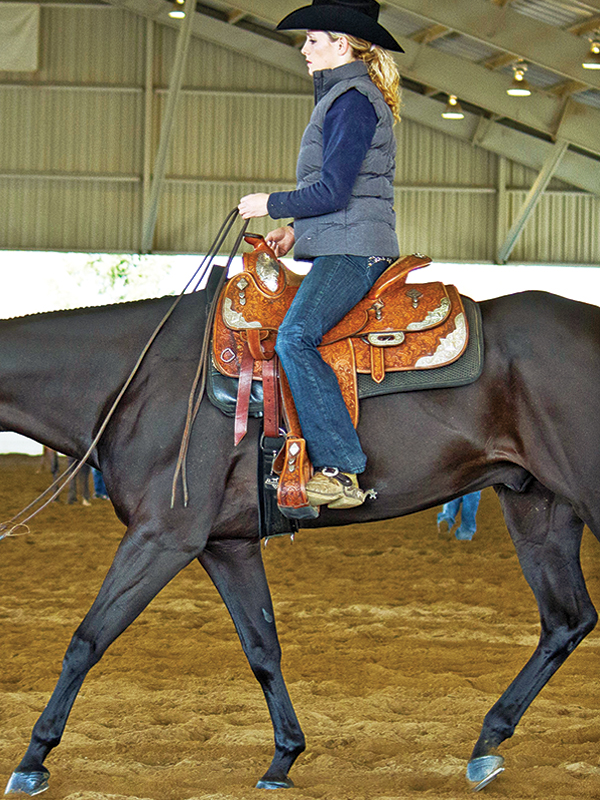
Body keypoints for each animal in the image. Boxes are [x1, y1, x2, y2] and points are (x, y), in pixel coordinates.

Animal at [1, 280, 599, 795]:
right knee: (567, 620)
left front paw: (33, 760)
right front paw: (283, 758)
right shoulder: (225, 546)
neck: (137, 380)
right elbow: (262, 648)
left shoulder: (162, 537)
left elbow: (87, 640)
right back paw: (485, 744)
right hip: (537, 509)